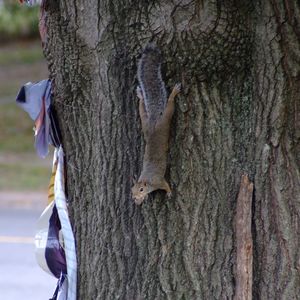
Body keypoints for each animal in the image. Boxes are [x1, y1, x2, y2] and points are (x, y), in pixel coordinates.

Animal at [132, 44, 182, 204]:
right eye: (132, 190)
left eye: (141, 189)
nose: (135, 199)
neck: (147, 180)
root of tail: (154, 120)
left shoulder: (158, 181)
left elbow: (165, 185)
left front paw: (169, 193)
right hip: (145, 123)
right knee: (142, 109)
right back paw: (140, 95)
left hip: (164, 120)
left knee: (169, 107)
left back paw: (174, 92)